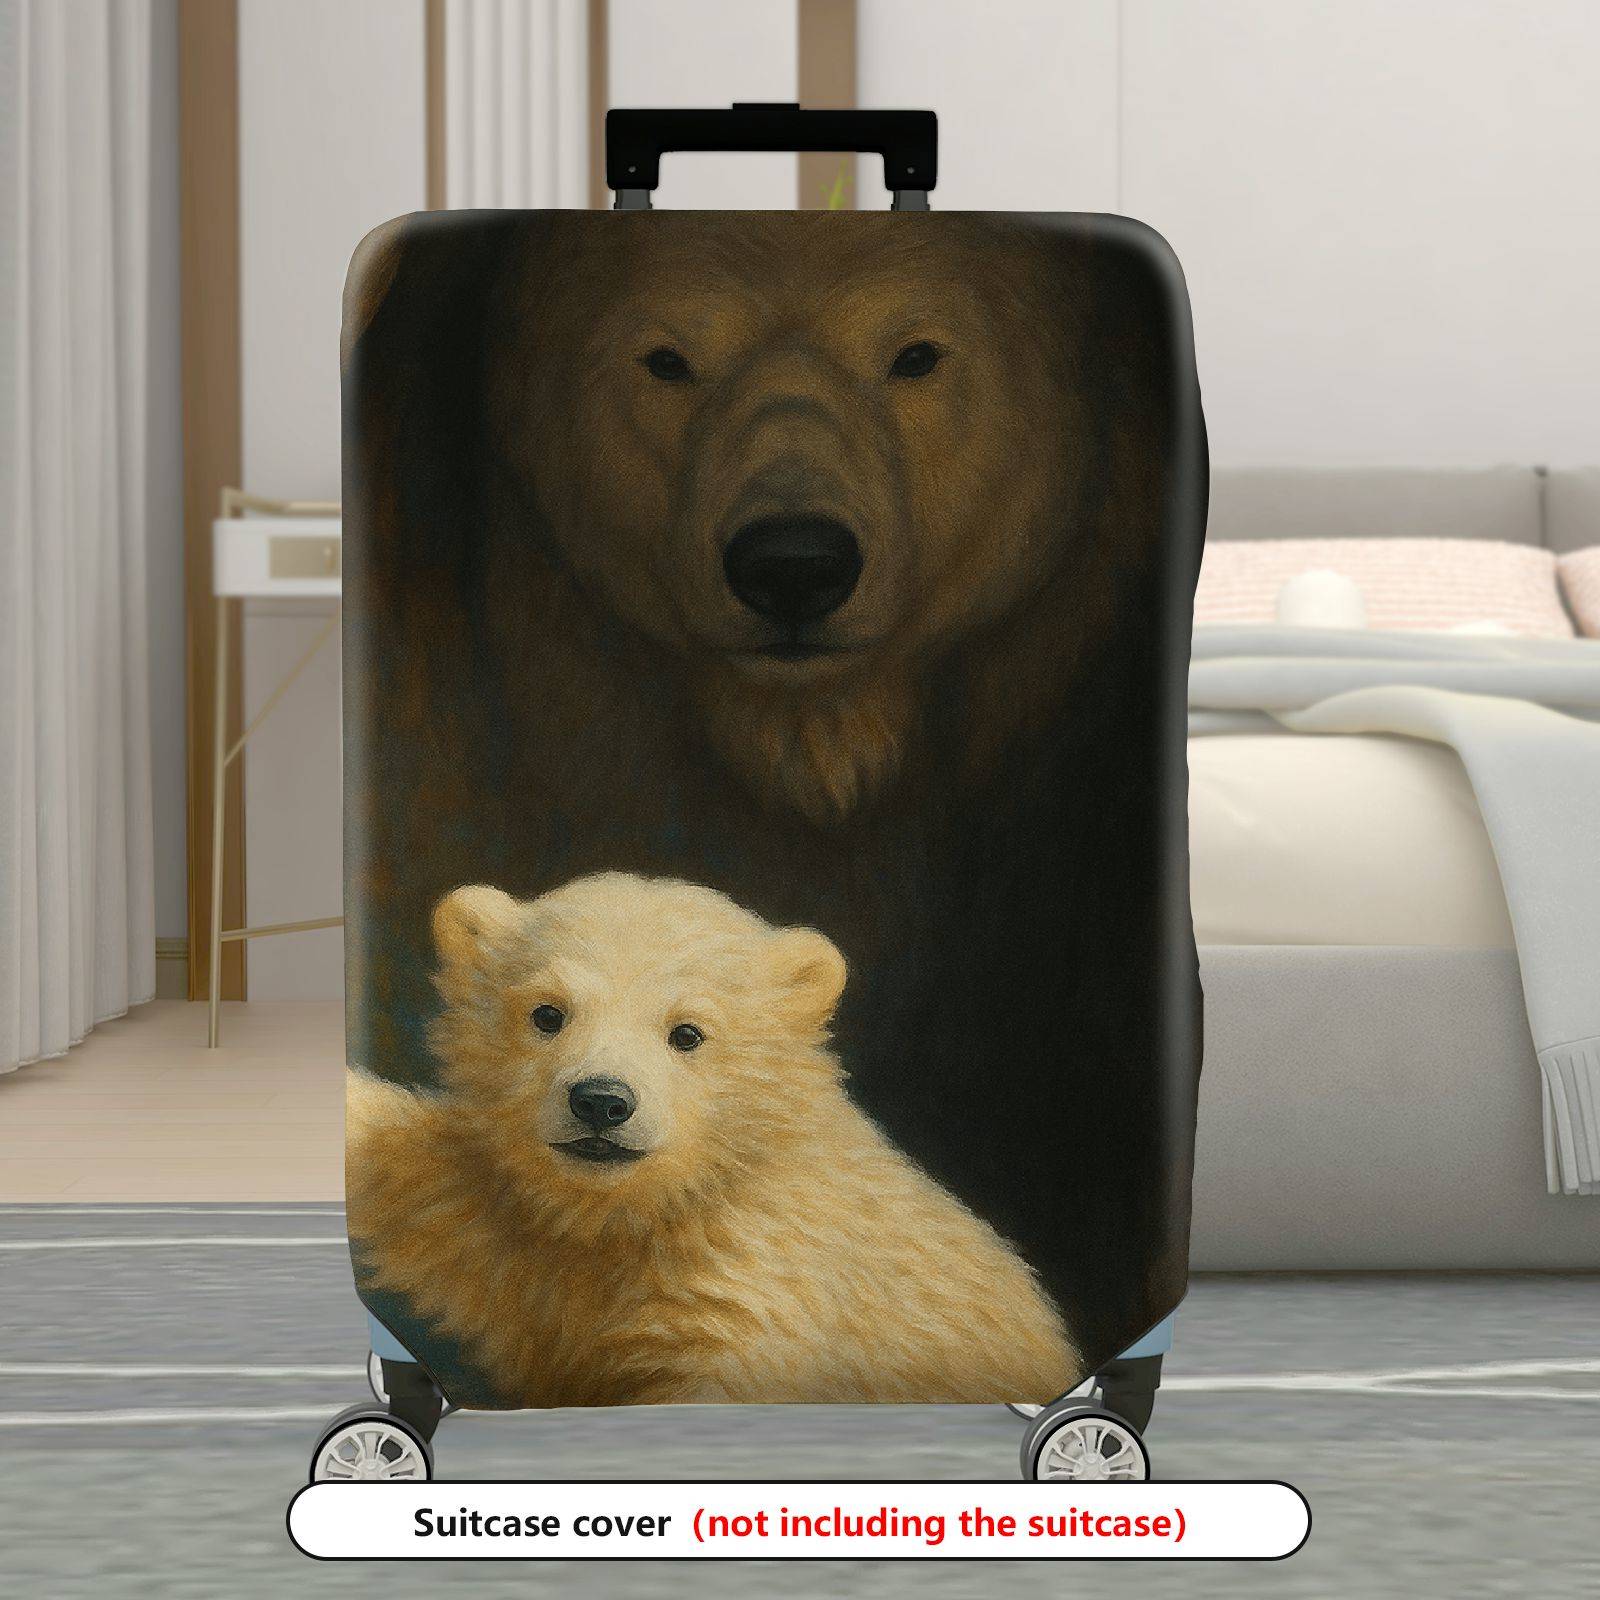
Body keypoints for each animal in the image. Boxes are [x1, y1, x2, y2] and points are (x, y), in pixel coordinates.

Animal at [345, 872, 1082, 1408]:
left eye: (687, 1032)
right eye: (547, 1013)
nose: (602, 1101)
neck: (643, 1214)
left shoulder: (759, 1280)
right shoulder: (514, 1230)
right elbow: (420, 1187)